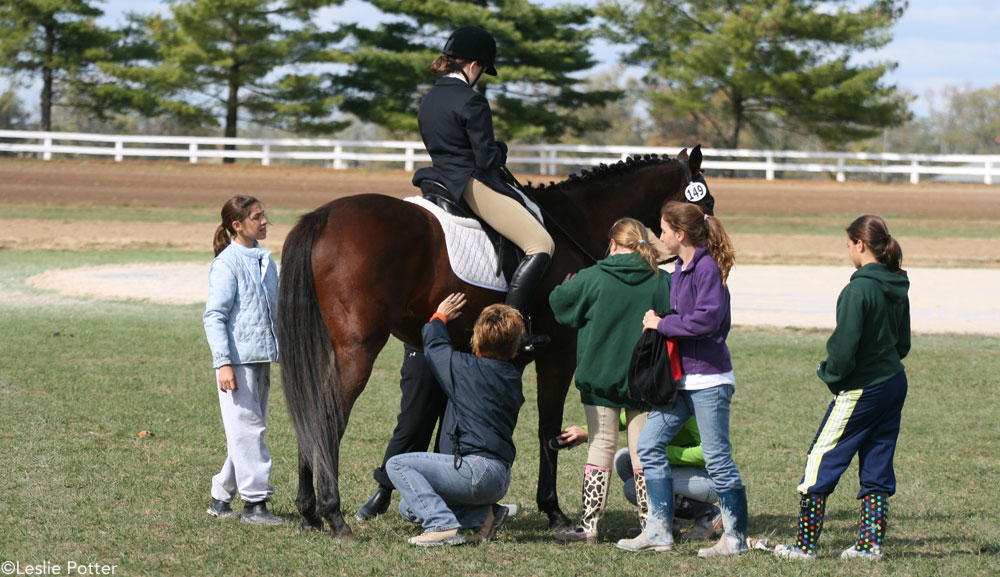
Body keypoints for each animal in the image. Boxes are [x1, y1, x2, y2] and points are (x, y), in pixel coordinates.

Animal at [277, 146, 714, 539]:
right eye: (705, 201)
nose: (710, 253)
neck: (573, 223)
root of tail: (323, 217)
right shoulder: (558, 354)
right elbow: (547, 429)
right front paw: (553, 511)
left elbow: (452, 430)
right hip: (360, 348)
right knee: (326, 417)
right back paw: (334, 516)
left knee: (311, 413)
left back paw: (310, 512)